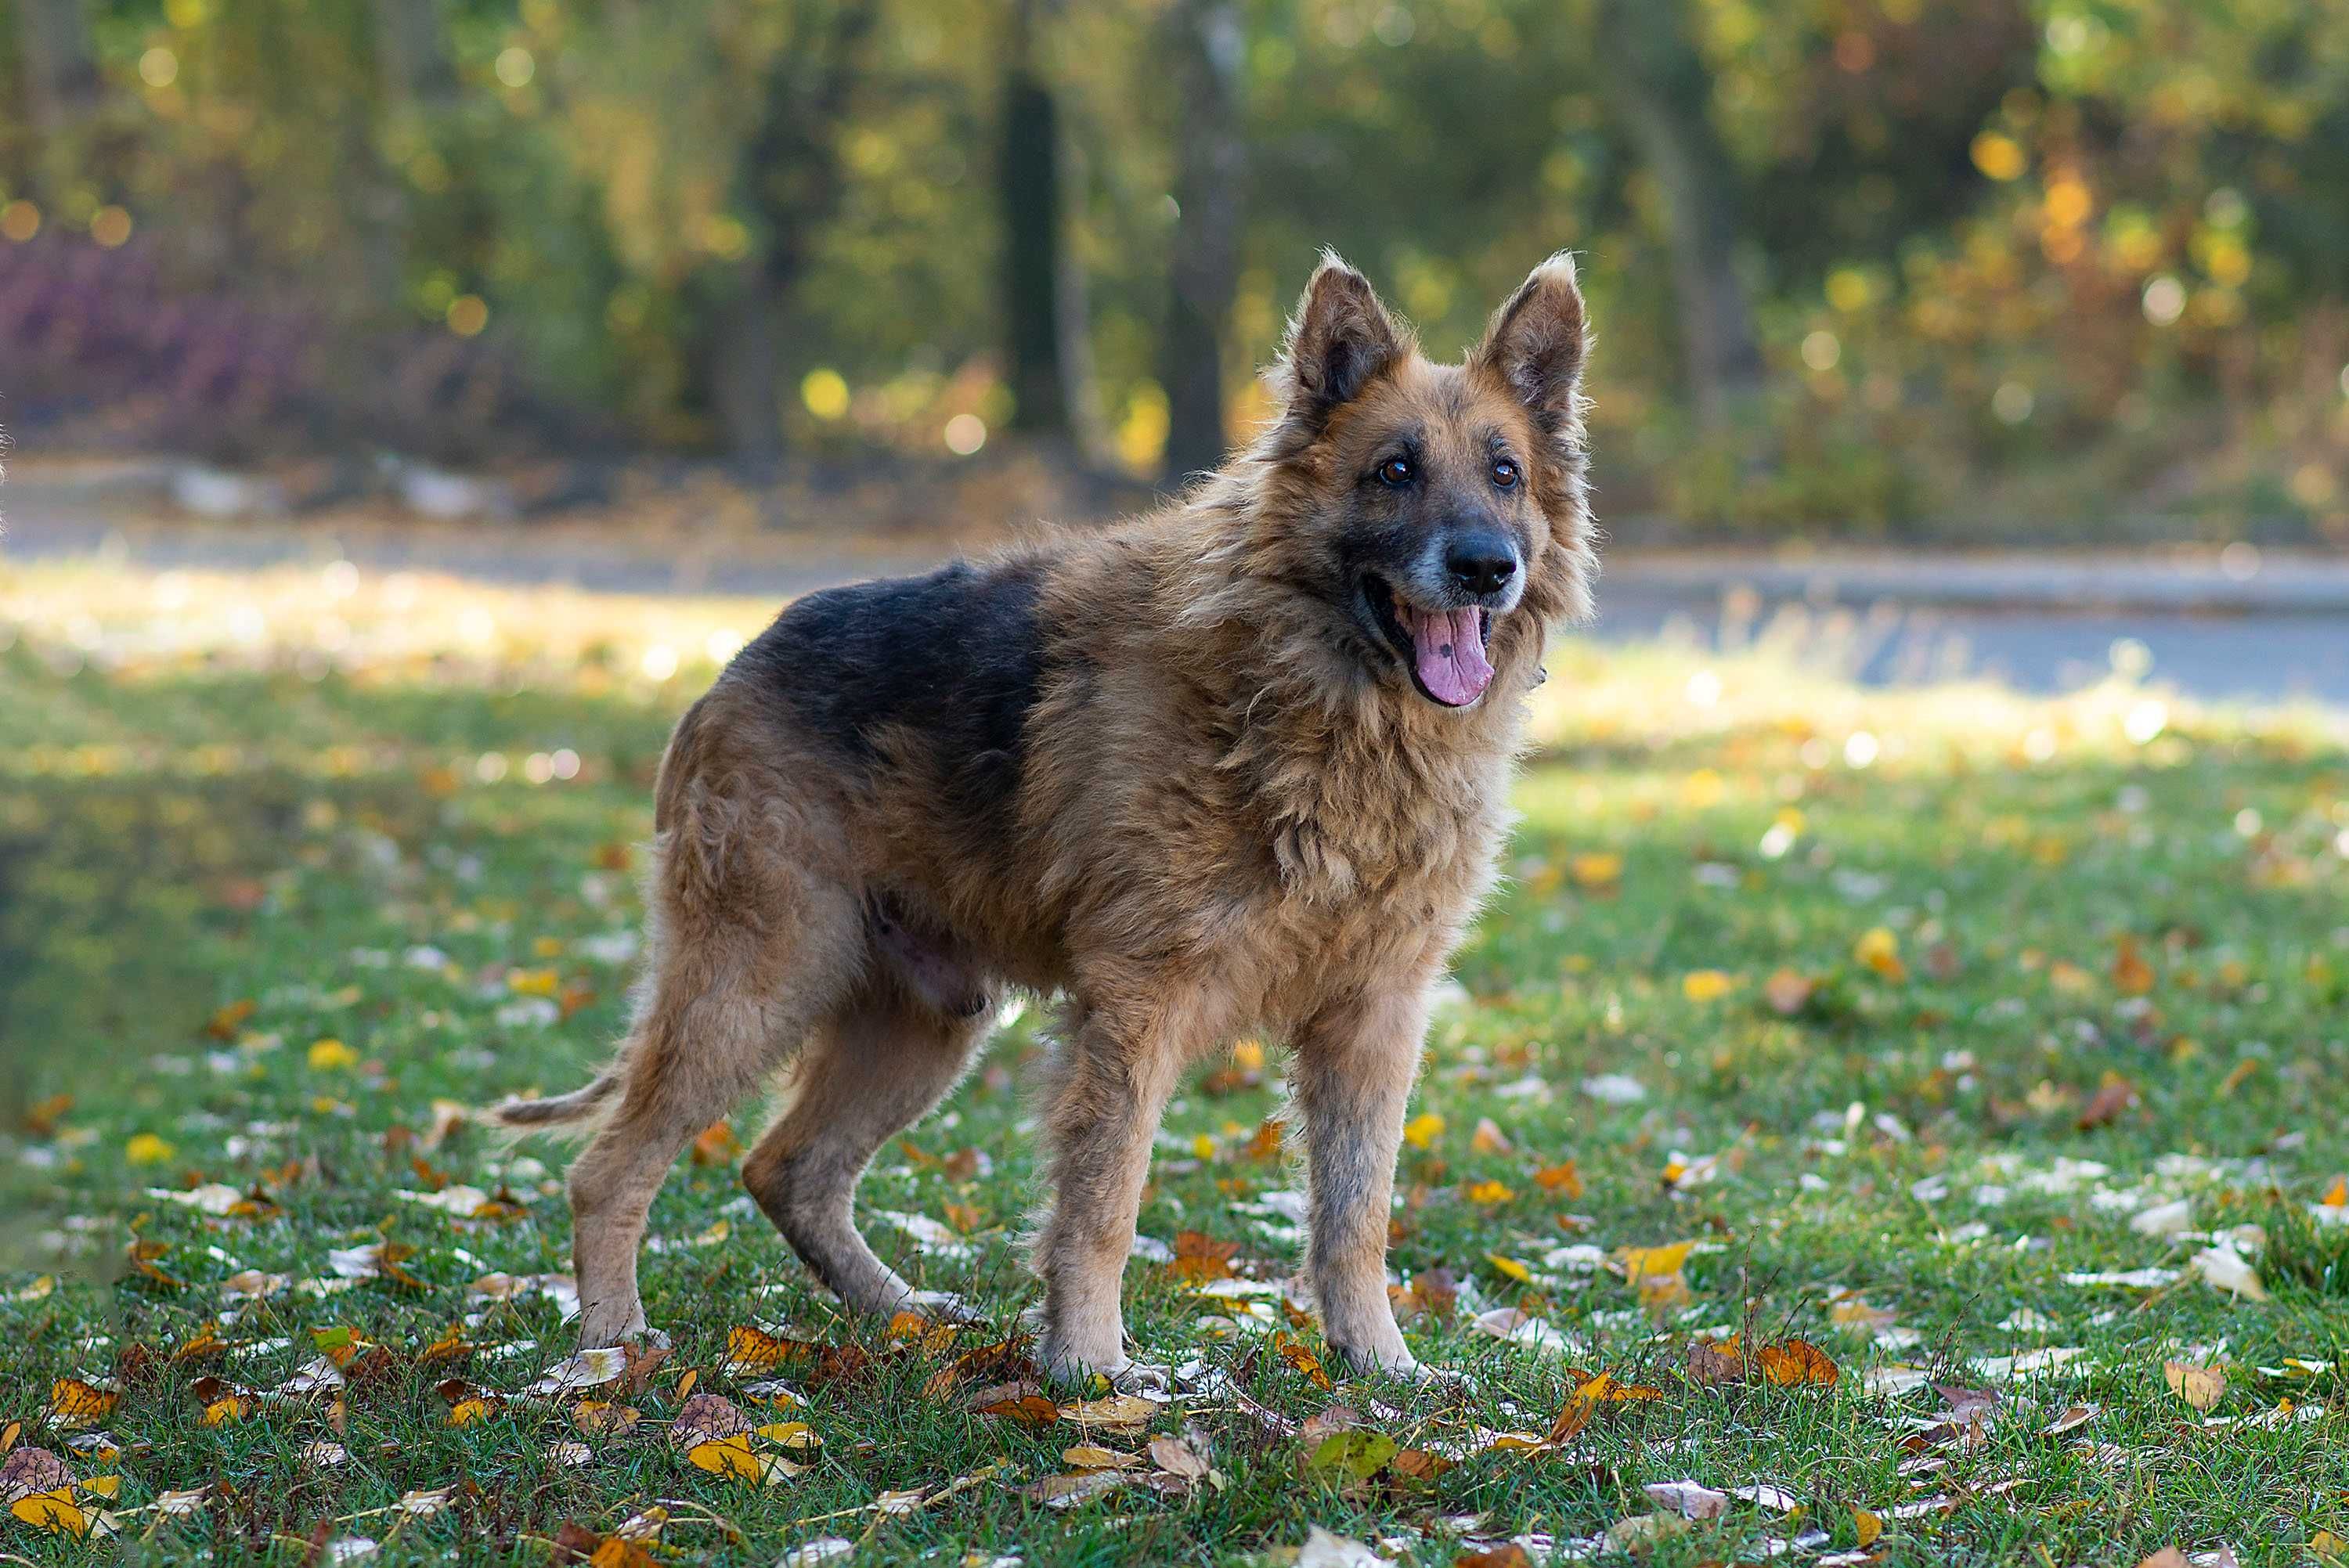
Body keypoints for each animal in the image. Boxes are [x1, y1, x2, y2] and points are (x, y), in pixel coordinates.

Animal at [493, 254, 1597, 1380]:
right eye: (1394, 470)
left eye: (1504, 473)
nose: (1485, 566)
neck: (1324, 706)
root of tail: (727, 673)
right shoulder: (1137, 1007)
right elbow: (1105, 1200)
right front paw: (1091, 1369)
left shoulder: (1373, 1019)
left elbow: (1358, 1212)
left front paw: (1378, 1361)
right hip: (759, 982)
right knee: (611, 1166)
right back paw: (610, 1346)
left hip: (923, 1024)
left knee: (785, 1166)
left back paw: (901, 1311)